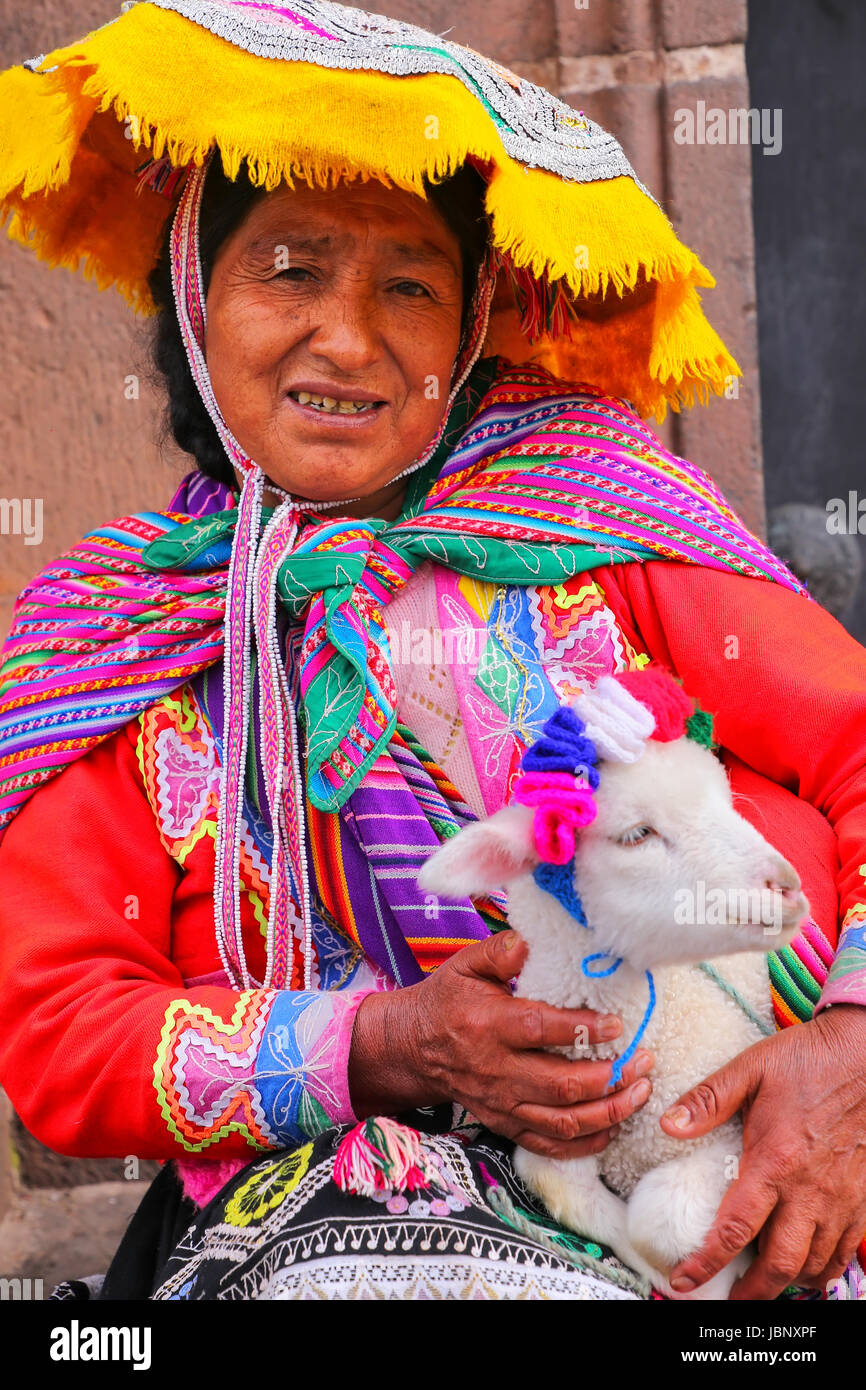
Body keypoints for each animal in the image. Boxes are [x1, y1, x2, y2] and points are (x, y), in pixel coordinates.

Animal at [417, 667, 811, 1295]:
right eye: (637, 834)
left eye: (725, 799)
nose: (788, 886)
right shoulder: (558, 1139)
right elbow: (572, 1194)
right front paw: (669, 1274)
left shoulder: (730, 1135)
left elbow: (663, 1218)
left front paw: (712, 1274)